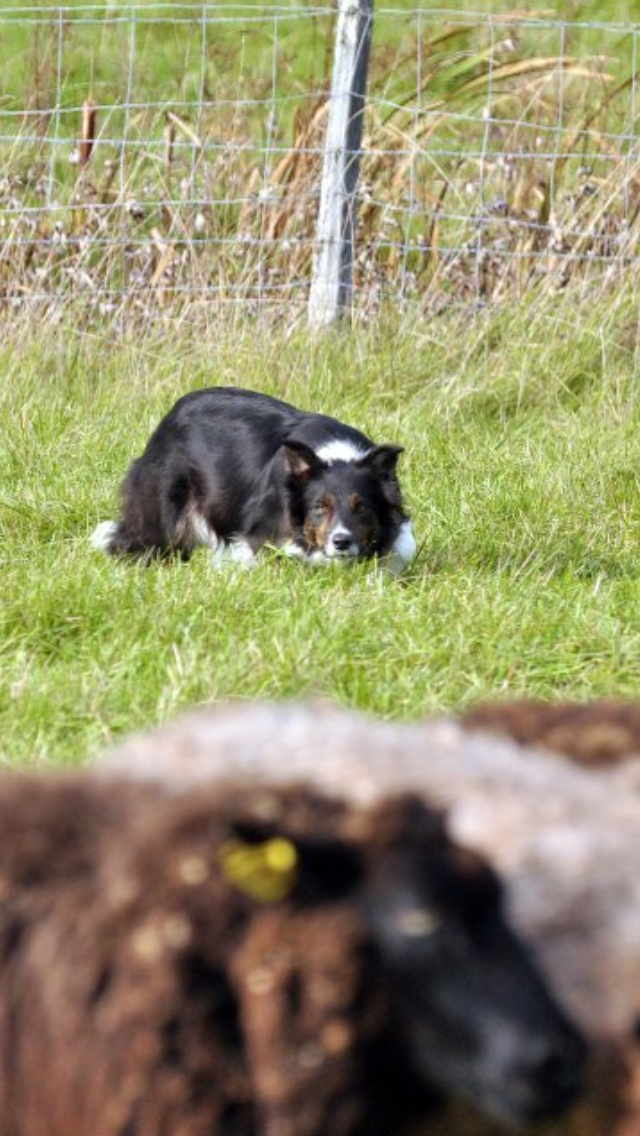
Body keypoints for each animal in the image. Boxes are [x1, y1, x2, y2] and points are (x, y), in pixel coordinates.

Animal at [91, 387, 416, 573]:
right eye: (318, 507)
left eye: (361, 507)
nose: (341, 542)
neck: (336, 455)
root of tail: (172, 412)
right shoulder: (260, 537)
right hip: (161, 513)